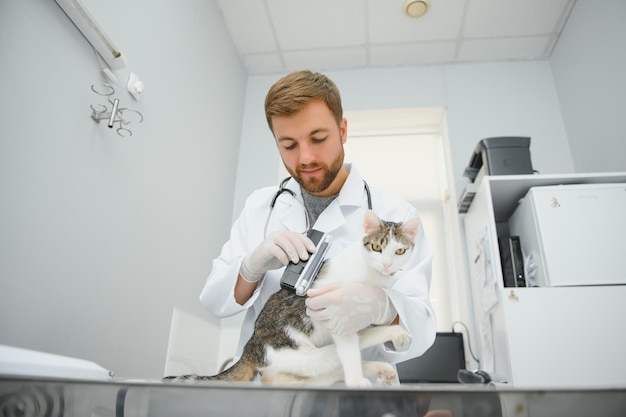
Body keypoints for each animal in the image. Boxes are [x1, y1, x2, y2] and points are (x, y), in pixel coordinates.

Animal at [165, 210, 420, 388]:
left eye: (399, 251)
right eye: (377, 247)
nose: (386, 265)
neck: (372, 276)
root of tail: (250, 347)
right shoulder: (337, 316)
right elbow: (349, 352)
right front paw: (356, 379)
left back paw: (383, 365)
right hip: (301, 356)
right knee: (344, 351)